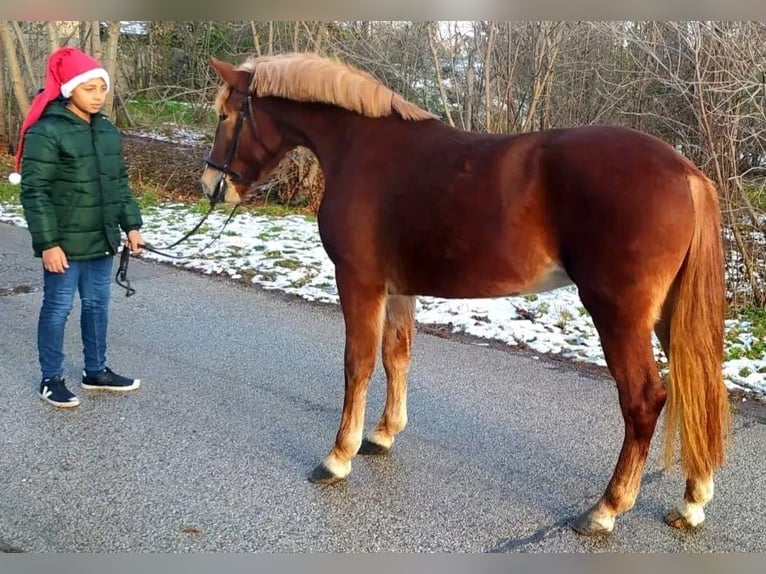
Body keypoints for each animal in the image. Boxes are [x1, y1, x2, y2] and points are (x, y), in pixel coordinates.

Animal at [200, 51, 732, 536]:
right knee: (699, 387)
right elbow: (397, 355)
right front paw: (383, 434)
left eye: (225, 114)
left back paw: (606, 509)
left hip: (618, 314)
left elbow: (358, 364)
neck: (362, 147)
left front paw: (338, 456)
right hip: (665, 314)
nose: (211, 183)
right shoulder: (397, 289)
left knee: (644, 400)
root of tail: (686, 172)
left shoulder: (358, 282)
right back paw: (692, 501)